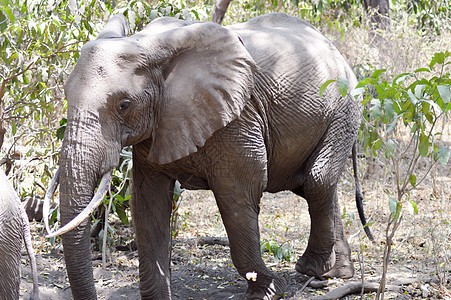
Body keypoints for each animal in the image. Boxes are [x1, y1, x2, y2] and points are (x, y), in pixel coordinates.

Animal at [43, 12, 374, 298]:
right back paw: (333, 274)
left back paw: (311, 269)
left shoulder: (237, 118)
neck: (148, 45)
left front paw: (268, 291)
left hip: (344, 110)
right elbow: (148, 203)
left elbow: (237, 194)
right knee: (313, 185)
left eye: (124, 105)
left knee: (316, 180)